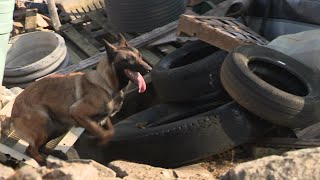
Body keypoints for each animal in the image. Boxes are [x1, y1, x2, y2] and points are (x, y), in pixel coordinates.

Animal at [1, 34, 151, 165]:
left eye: (139, 56)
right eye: (130, 60)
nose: (149, 69)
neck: (106, 83)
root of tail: (12, 114)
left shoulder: (103, 117)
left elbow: (110, 130)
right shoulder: (78, 113)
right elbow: (103, 133)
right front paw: (99, 142)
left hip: (59, 127)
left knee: (40, 147)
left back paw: (55, 153)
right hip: (44, 123)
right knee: (31, 149)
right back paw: (42, 162)